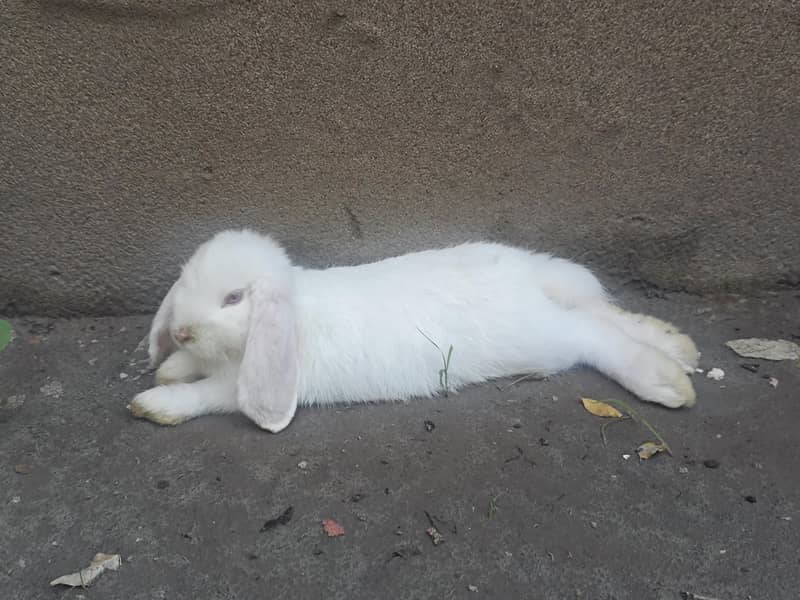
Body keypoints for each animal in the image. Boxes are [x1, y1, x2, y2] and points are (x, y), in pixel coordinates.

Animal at [128, 228, 699, 432]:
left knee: (593, 335)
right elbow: (190, 373)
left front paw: (154, 403)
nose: (181, 331)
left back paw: (664, 379)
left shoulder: (242, 384)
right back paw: (679, 346)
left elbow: (209, 395)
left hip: (543, 338)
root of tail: (528, 275)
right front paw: (172, 367)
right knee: (600, 313)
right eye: (184, 281)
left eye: (233, 298)